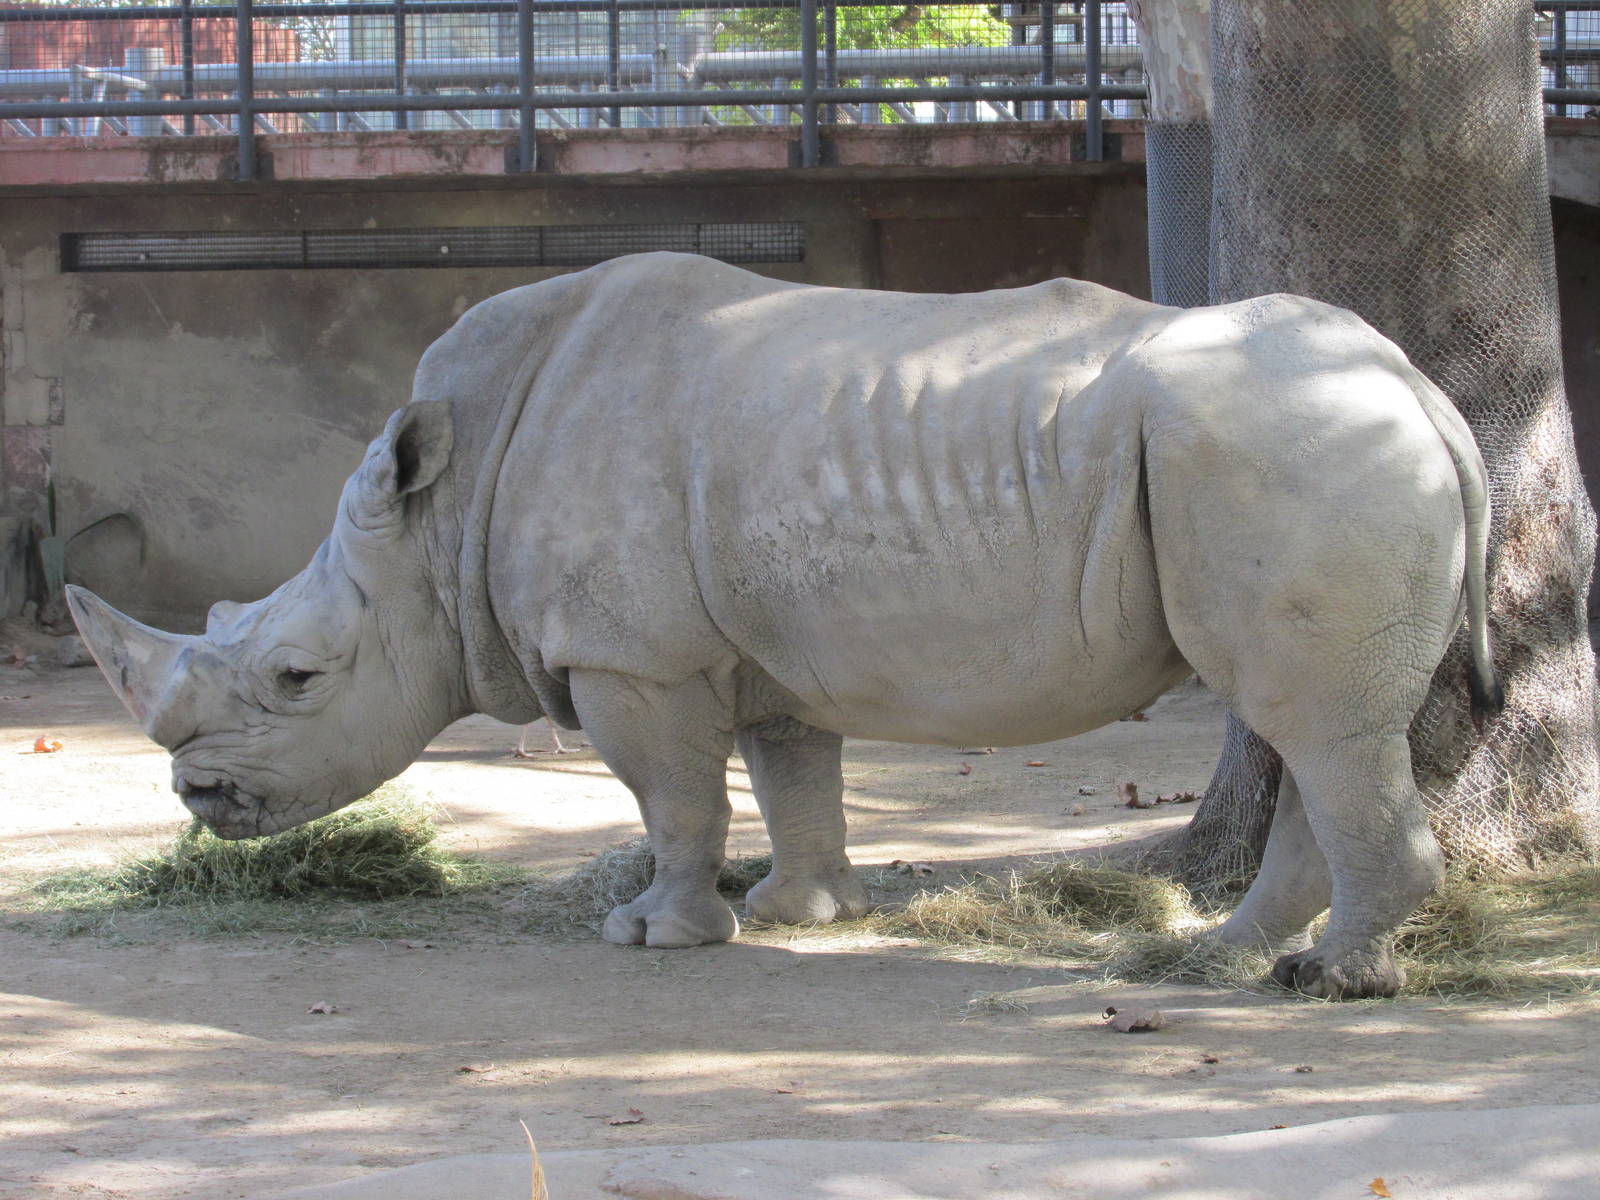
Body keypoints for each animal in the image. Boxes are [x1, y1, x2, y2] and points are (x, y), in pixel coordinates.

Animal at [68, 252, 1501, 1000]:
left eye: (295, 676)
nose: (198, 799)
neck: (436, 521)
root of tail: (1423, 390)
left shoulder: (631, 655)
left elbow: (672, 797)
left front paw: (657, 936)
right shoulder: (753, 647)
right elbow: (789, 772)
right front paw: (803, 910)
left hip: (1289, 447)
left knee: (1314, 722)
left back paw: (1336, 982)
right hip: (1298, 445)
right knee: (1310, 722)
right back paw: (1226, 958)